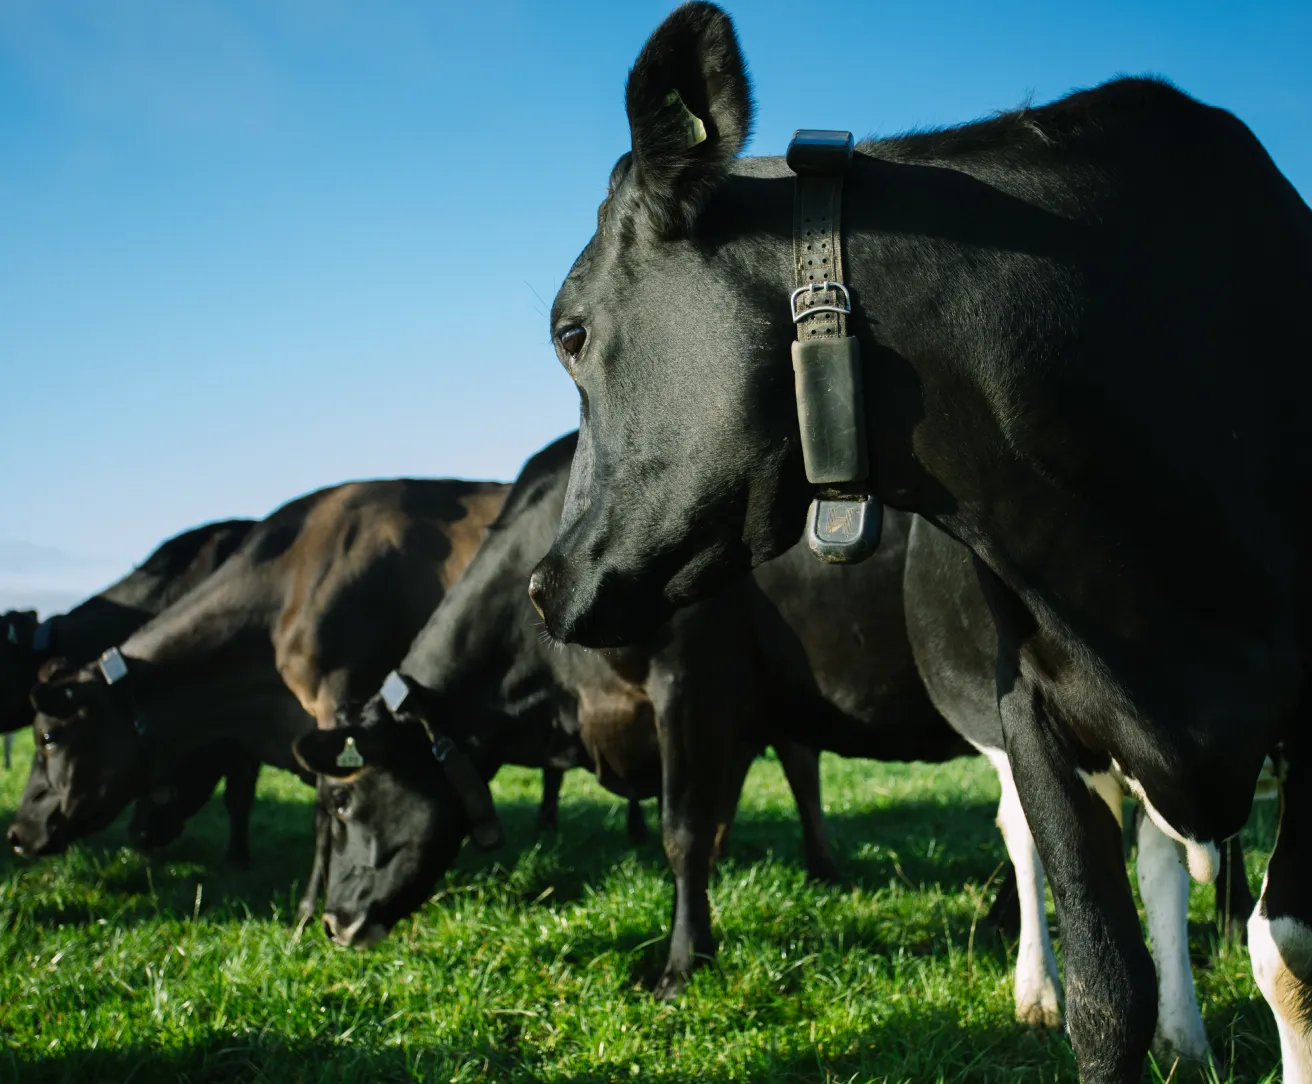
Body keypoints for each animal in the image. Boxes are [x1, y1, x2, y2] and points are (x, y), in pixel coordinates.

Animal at [293, 433, 980, 993]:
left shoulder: (689, 685)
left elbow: (685, 833)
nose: (332, 922)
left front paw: (681, 967)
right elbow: (729, 819)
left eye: (342, 802)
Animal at [524, 5, 1312, 1081]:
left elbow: (1286, 954)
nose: (544, 582)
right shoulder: (1034, 709)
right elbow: (1107, 990)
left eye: (569, 333)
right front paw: (1082, 1005)